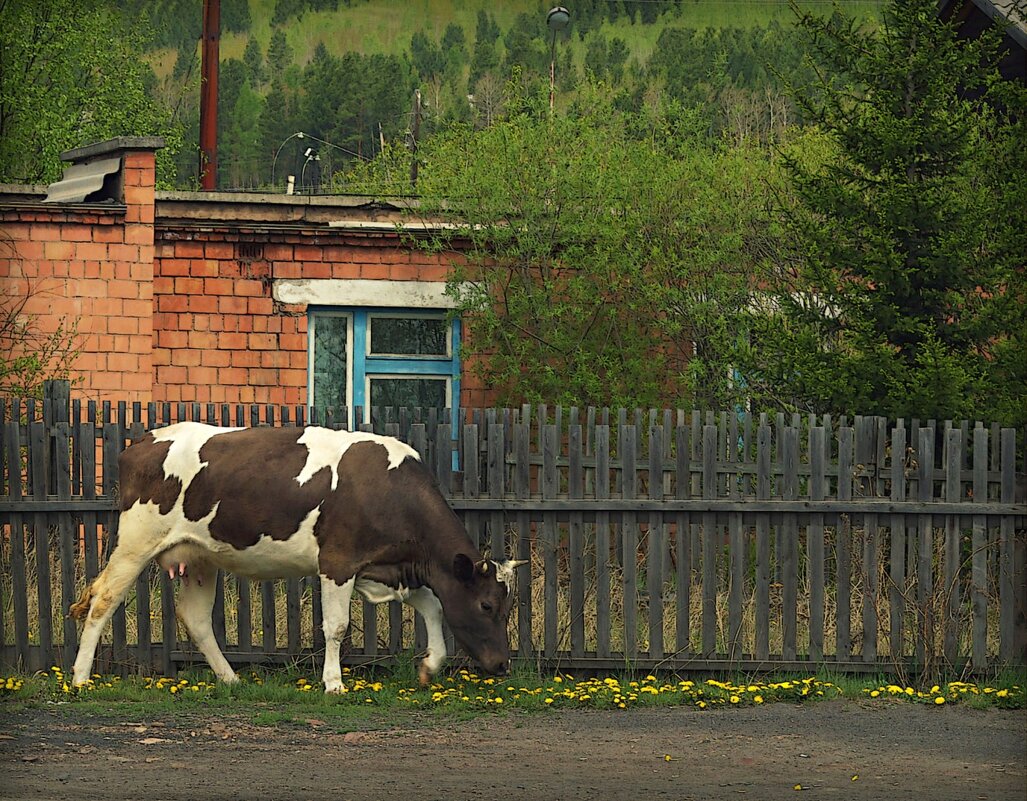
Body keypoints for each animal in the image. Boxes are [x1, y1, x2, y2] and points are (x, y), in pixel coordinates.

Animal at [70, 423, 529, 690]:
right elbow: (337, 627)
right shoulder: (338, 562)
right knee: (103, 600)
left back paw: (231, 679)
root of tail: (141, 443)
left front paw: (430, 666)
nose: (503, 664)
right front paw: (333, 683)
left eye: (507, 606)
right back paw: (79, 677)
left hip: (200, 557)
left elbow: (434, 607)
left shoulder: (392, 566)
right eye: (487, 605)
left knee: (196, 617)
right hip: (136, 541)